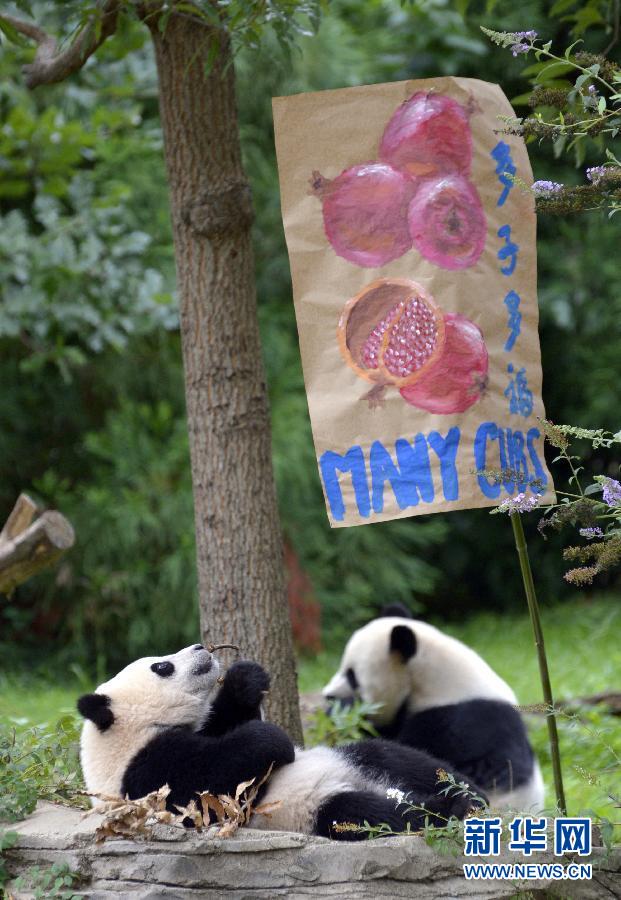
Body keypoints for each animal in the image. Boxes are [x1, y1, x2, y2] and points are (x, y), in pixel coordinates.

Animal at [77, 644, 484, 840]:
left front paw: (245, 677)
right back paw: (445, 808)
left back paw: (469, 795)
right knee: (370, 815)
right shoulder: (145, 773)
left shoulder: (200, 732)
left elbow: (227, 722)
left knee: (396, 758)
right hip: (310, 810)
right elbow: (211, 779)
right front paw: (275, 740)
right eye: (162, 666)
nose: (200, 648)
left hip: (355, 758)